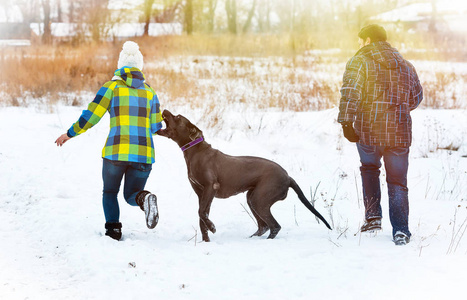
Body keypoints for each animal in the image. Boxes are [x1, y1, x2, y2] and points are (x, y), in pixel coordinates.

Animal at [158, 109, 332, 241]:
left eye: (177, 117)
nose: (164, 110)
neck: (196, 152)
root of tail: (288, 177)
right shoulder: (201, 193)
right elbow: (202, 216)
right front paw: (206, 240)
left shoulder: (211, 187)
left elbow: (202, 213)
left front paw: (212, 227)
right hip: (252, 198)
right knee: (264, 226)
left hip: (259, 199)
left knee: (274, 226)